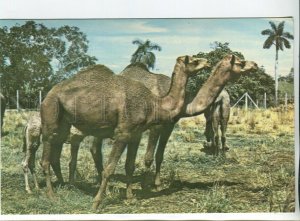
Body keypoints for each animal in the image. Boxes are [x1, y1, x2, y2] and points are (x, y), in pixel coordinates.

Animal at [39, 55, 209, 209]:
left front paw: (130, 198)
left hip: (64, 124)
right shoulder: (122, 133)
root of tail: (48, 94)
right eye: (194, 60)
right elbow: (109, 169)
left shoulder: (135, 134)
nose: (207, 62)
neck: (152, 103)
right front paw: (96, 203)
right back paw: (52, 195)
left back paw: (65, 187)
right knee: (45, 158)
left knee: (56, 153)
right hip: (50, 117)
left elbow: (130, 165)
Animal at [120, 54, 256, 189]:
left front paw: (157, 184)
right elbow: (149, 157)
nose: (255, 64)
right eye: (241, 62)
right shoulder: (156, 126)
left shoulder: (169, 125)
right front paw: (145, 185)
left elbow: (159, 155)